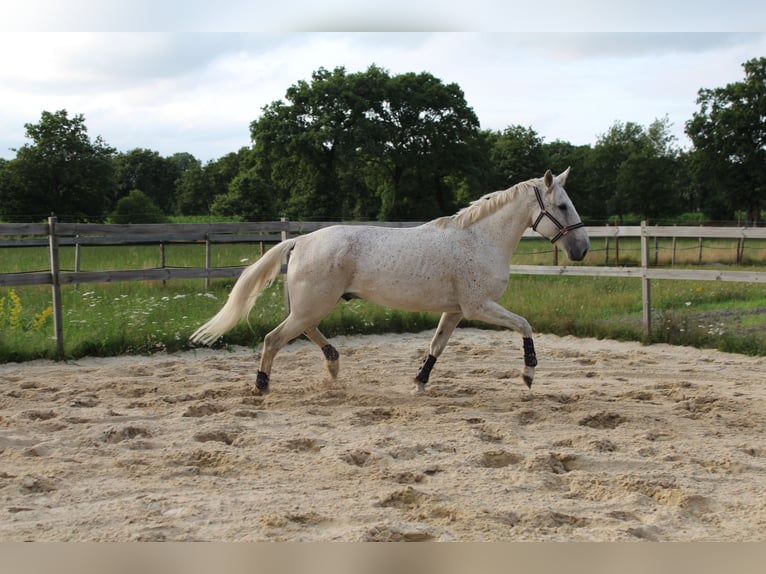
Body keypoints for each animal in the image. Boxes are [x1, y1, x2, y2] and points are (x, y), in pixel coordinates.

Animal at [191, 168, 589, 394]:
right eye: (563, 206)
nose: (582, 249)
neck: (479, 239)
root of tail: (301, 240)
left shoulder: (456, 311)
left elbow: (436, 346)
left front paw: (419, 383)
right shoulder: (479, 307)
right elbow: (525, 325)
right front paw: (528, 375)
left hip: (311, 306)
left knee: (304, 332)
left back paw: (333, 365)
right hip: (312, 305)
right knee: (274, 339)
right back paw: (262, 386)